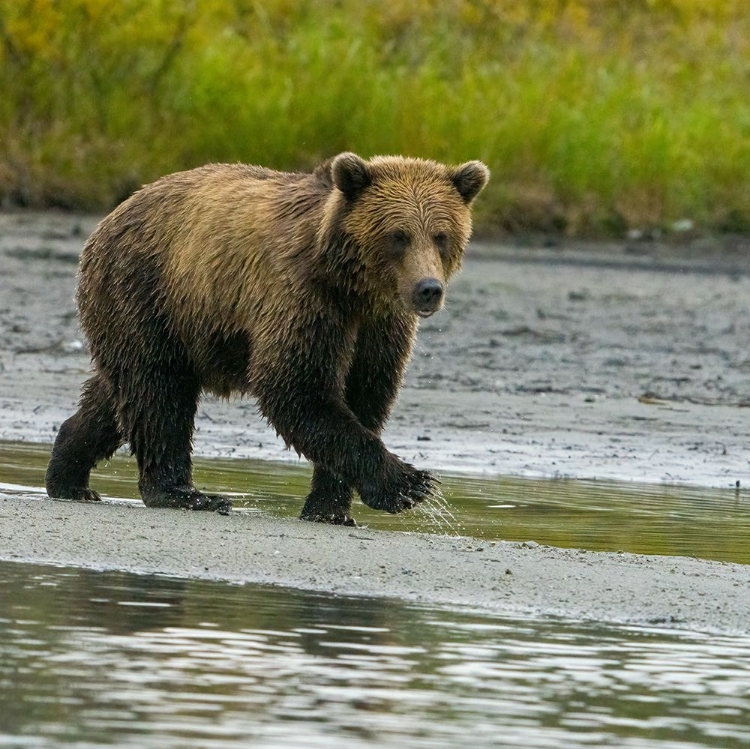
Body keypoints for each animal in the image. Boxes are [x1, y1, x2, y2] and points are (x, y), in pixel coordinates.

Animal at [48, 152, 494, 524]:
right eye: (398, 235)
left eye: (440, 235)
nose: (427, 289)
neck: (352, 288)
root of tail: (114, 213)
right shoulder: (301, 297)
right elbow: (296, 386)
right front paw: (408, 484)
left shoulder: (380, 328)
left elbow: (366, 394)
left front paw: (330, 508)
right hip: (149, 288)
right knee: (158, 392)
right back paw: (185, 494)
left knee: (121, 393)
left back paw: (69, 475)